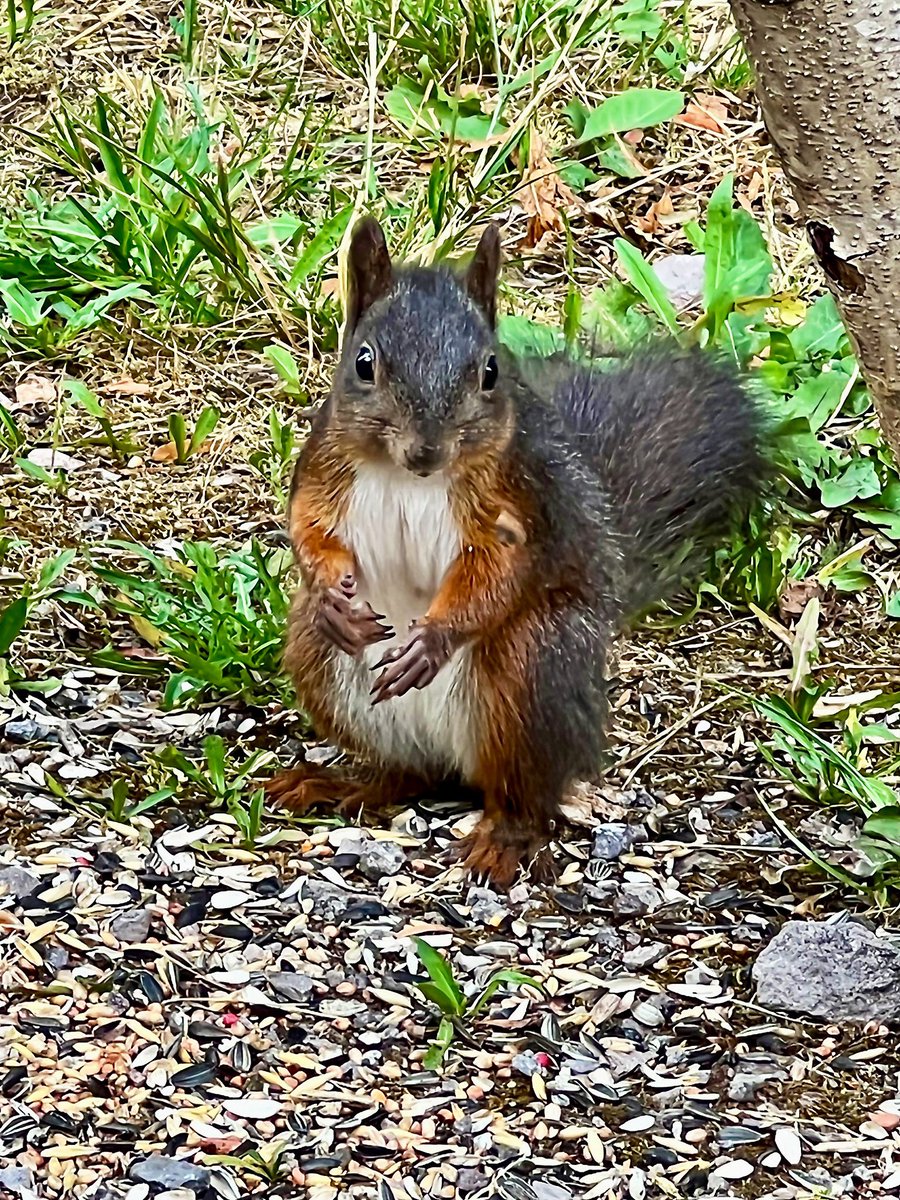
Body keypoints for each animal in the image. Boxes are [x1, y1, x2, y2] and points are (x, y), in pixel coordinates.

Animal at [266, 217, 766, 886]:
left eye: (490, 371)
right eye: (363, 363)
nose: (426, 451)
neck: (407, 479)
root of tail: (454, 760)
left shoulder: (523, 497)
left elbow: (499, 573)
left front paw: (435, 638)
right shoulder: (322, 463)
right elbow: (308, 527)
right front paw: (329, 592)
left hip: (532, 672)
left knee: (525, 794)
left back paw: (503, 838)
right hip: (321, 666)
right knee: (404, 774)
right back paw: (344, 781)